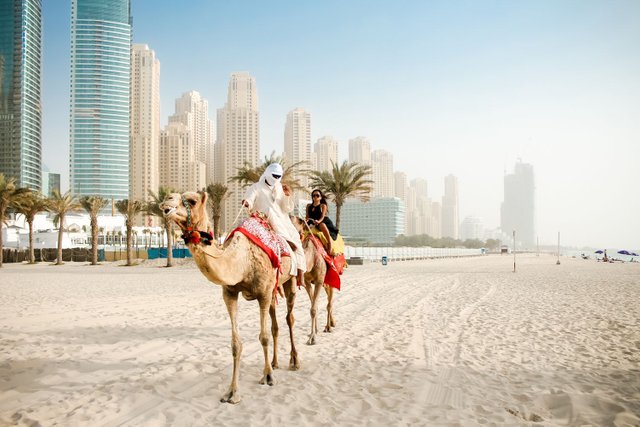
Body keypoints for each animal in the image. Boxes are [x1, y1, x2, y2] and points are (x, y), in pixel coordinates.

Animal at [160, 191, 300, 404]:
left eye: (192, 201)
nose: (166, 200)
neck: (242, 261)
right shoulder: (230, 294)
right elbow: (236, 344)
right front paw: (232, 392)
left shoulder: (263, 293)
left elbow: (263, 337)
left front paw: (268, 376)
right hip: (273, 289)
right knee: (275, 323)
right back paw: (275, 362)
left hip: (290, 279)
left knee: (290, 318)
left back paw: (294, 361)